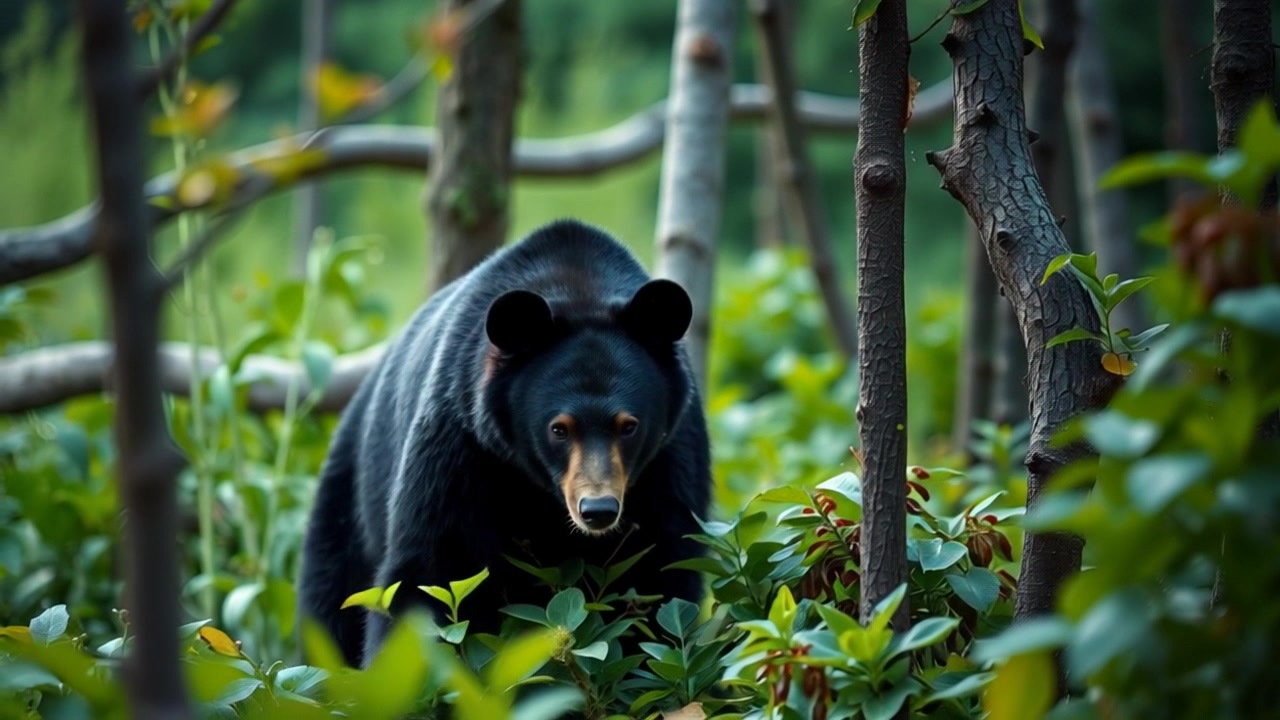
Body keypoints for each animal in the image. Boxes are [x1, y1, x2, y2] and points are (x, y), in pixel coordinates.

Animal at [296, 218, 712, 668]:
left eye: (629, 426)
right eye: (558, 428)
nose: (598, 509)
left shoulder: (671, 460)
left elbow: (662, 574)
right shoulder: (459, 444)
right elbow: (427, 571)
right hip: (348, 500)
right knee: (329, 599)